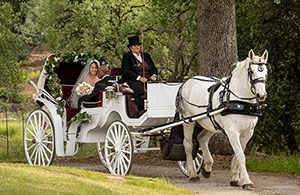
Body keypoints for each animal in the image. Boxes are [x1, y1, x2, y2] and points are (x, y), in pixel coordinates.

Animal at [178, 50, 270, 189]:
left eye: (265, 72)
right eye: (251, 71)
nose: (261, 95)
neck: (241, 101)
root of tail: (186, 82)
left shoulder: (248, 132)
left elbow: (237, 155)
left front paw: (235, 179)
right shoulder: (232, 132)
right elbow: (240, 155)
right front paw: (246, 181)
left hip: (210, 123)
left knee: (201, 138)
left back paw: (207, 167)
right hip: (188, 121)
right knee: (188, 144)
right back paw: (192, 173)